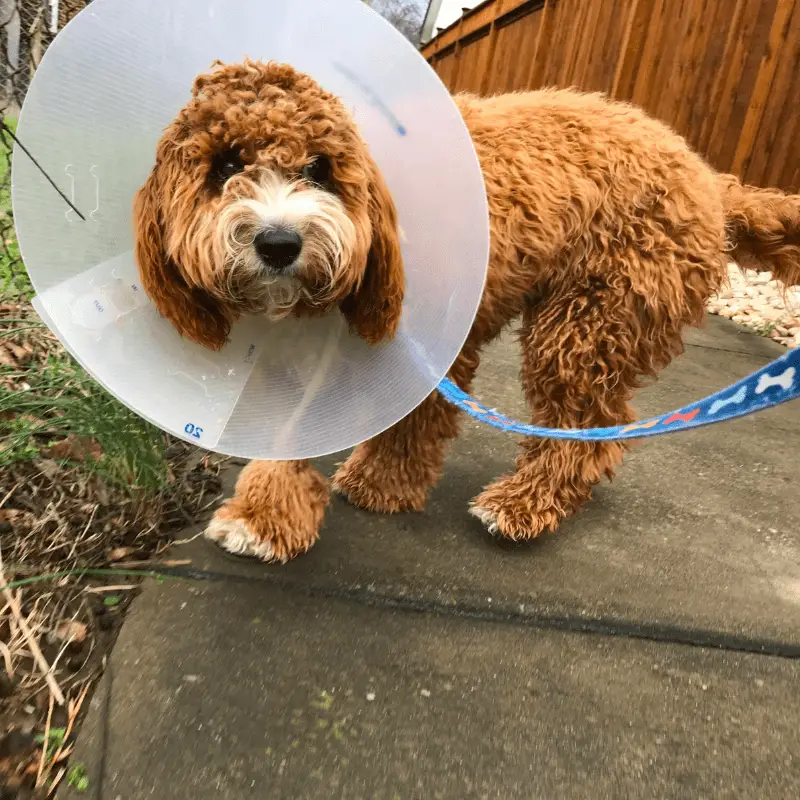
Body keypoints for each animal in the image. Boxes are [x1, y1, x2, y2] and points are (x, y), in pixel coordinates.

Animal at [133, 59, 800, 564]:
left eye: (319, 167)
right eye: (224, 165)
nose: (278, 242)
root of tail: (709, 179)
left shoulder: (435, 345)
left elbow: (408, 423)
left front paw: (338, 497)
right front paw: (282, 509)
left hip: (589, 321)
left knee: (586, 427)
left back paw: (523, 504)